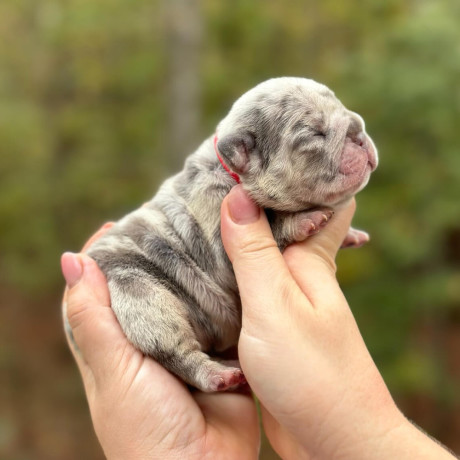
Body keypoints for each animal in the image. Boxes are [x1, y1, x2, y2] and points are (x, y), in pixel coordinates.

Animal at [83, 76, 378, 392]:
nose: (358, 131)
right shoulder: (216, 236)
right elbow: (273, 224)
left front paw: (351, 234)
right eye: (315, 134)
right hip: (142, 293)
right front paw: (303, 220)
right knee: (176, 351)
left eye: (344, 109)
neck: (232, 173)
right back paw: (217, 375)